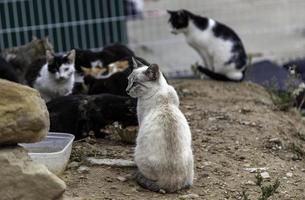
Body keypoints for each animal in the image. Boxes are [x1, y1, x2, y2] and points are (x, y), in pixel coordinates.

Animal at [125, 57, 192, 193]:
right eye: (128, 81)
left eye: (135, 84)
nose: (126, 91)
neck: (160, 90)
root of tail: (170, 182)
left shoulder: (141, 119)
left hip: (137, 151)